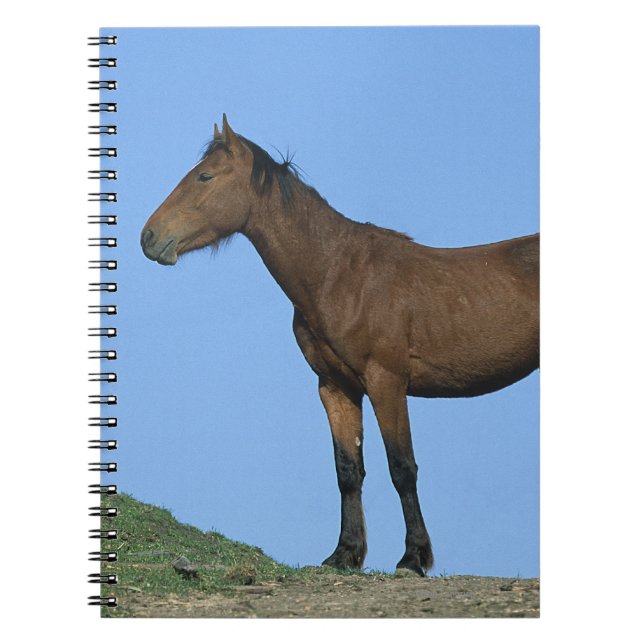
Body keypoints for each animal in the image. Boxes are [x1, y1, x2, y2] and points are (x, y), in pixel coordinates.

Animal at [141, 115, 539, 576]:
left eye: (205, 176)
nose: (149, 237)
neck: (338, 273)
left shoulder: (387, 383)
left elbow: (401, 467)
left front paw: (413, 557)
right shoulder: (336, 387)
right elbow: (348, 471)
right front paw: (345, 554)